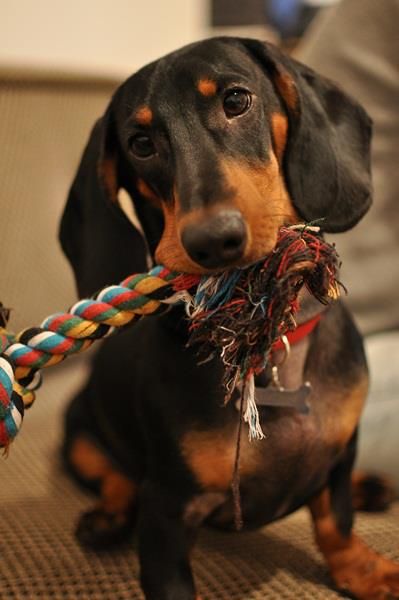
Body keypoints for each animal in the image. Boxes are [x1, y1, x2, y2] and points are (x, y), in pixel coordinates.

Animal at [59, 37, 399, 600]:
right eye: (140, 143)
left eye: (236, 100)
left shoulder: (341, 449)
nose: (213, 241)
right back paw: (107, 516)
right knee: (113, 475)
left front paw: (364, 569)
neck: (272, 343)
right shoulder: (167, 510)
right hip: (79, 431)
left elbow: (336, 519)